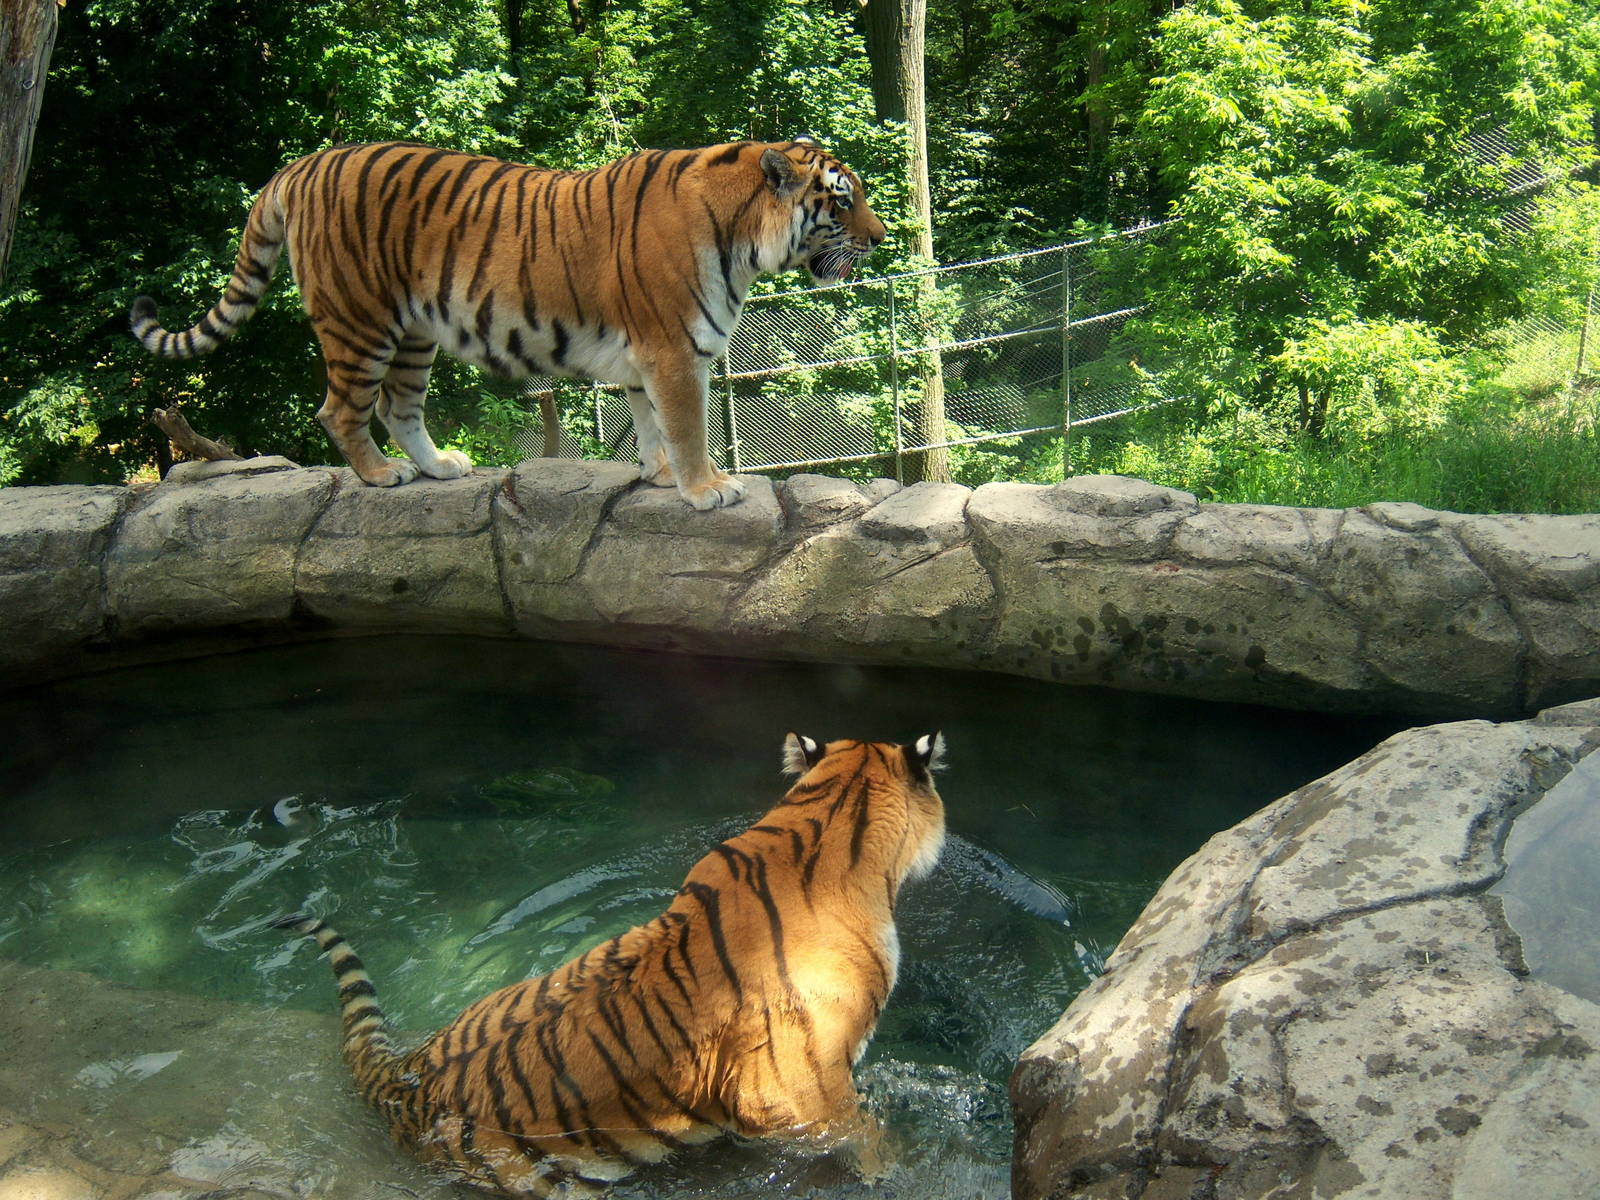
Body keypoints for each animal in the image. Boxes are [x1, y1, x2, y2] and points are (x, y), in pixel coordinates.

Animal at [129, 139, 886, 509]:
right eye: (843, 202)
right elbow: (687, 427)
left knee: (399, 406)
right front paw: (706, 490)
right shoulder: (674, 350)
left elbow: (650, 423)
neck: (744, 236)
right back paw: (380, 477)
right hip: (359, 320)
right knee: (339, 410)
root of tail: (298, 166)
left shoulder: (649, 353)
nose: (880, 240)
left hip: (415, 333)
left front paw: (661, 476)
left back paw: (438, 468)